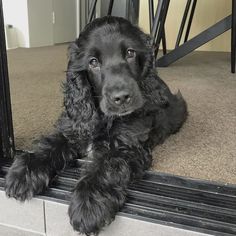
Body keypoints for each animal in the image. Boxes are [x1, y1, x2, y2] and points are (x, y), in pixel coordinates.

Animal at [4, 16, 187, 234]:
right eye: (93, 62)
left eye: (130, 53)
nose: (121, 97)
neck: (104, 118)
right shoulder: (74, 127)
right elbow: (50, 143)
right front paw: (25, 171)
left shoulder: (127, 146)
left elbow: (107, 165)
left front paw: (88, 205)